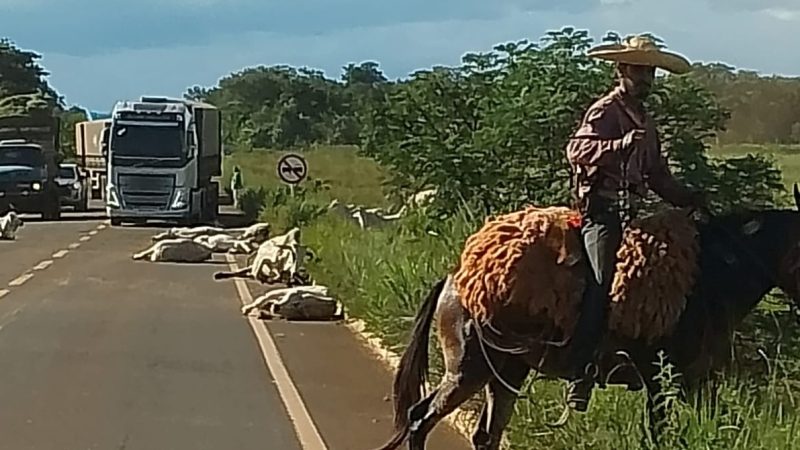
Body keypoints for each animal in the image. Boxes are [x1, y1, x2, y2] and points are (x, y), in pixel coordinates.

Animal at [376, 184, 800, 450]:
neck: (709, 273)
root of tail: (455, 279)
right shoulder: (660, 381)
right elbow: (660, 436)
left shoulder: (697, 382)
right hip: (468, 370)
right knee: (420, 418)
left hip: (507, 372)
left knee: (485, 435)